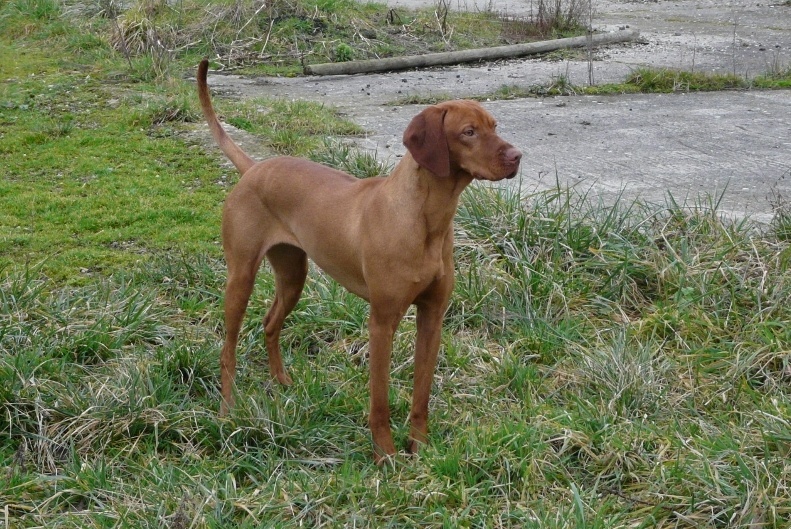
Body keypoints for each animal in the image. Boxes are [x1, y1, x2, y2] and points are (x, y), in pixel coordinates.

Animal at [196, 58, 524, 462]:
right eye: (468, 132)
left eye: (494, 126)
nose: (517, 157)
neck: (427, 220)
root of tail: (255, 167)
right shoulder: (381, 322)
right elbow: (379, 400)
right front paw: (386, 456)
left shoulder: (432, 317)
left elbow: (422, 395)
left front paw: (420, 449)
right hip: (241, 277)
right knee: (228, 349)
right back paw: (227, 411)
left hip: (293, 275)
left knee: (270, 323)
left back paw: (281, 381)